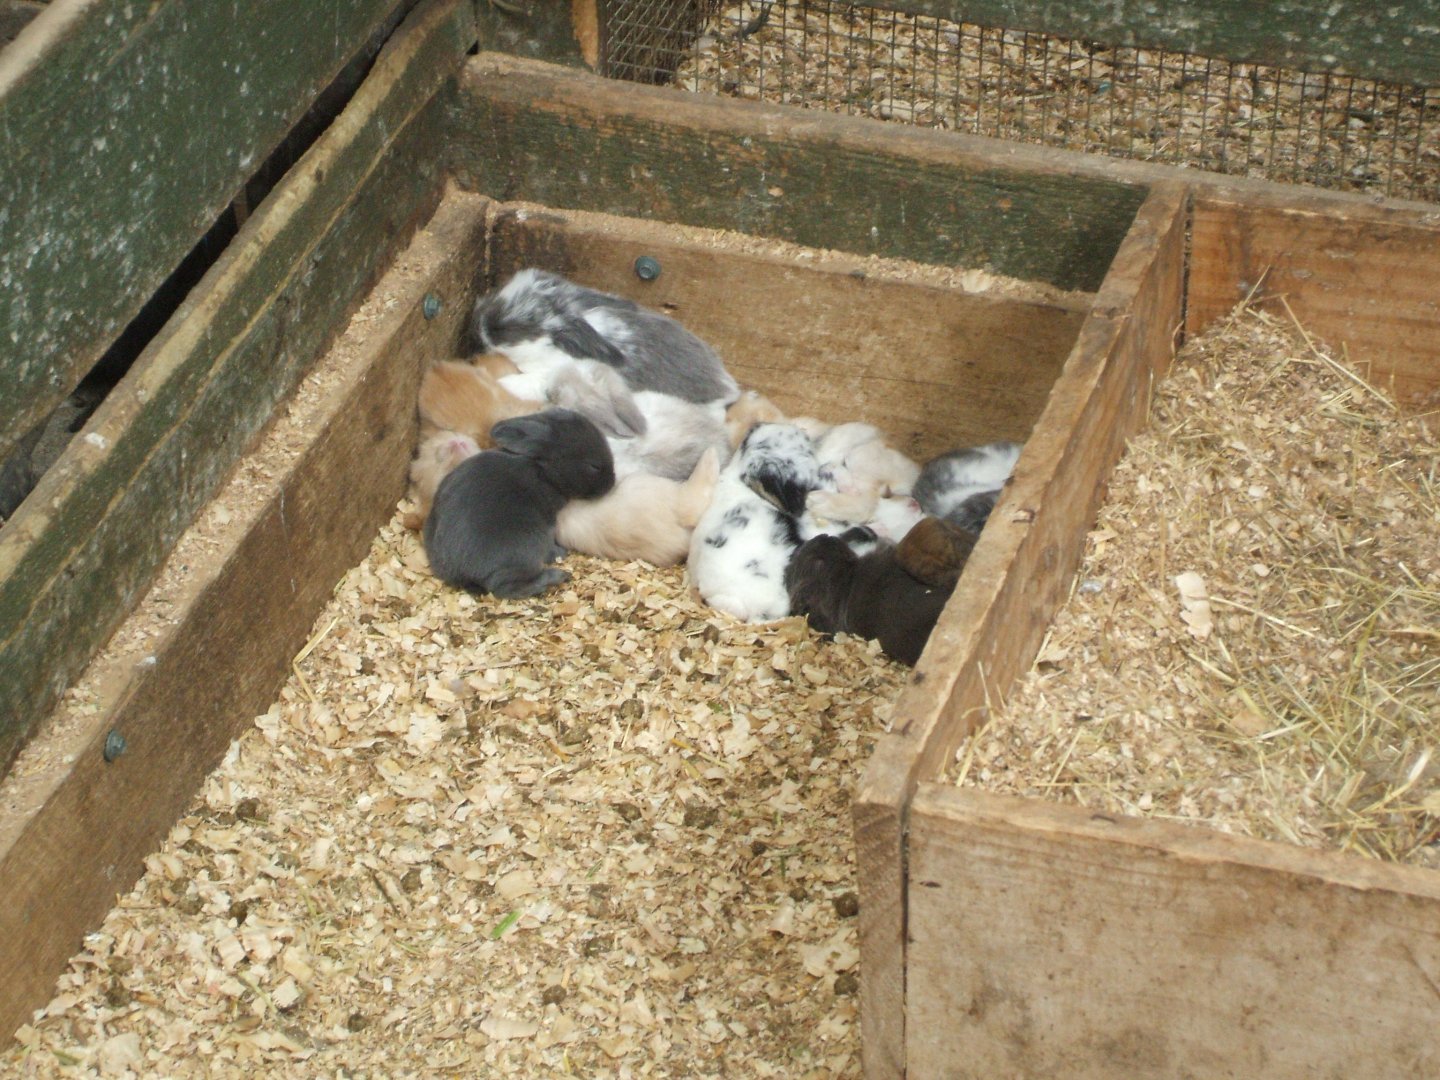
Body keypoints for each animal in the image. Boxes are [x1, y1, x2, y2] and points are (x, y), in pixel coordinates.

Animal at [423, 408, 615, 598]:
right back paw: (556, 576)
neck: (541, 469)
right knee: (506, 587)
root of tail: (462, 575)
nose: (611, 483)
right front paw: (560, 553)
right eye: (594, 466)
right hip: (522, 552)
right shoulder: (548, 523)